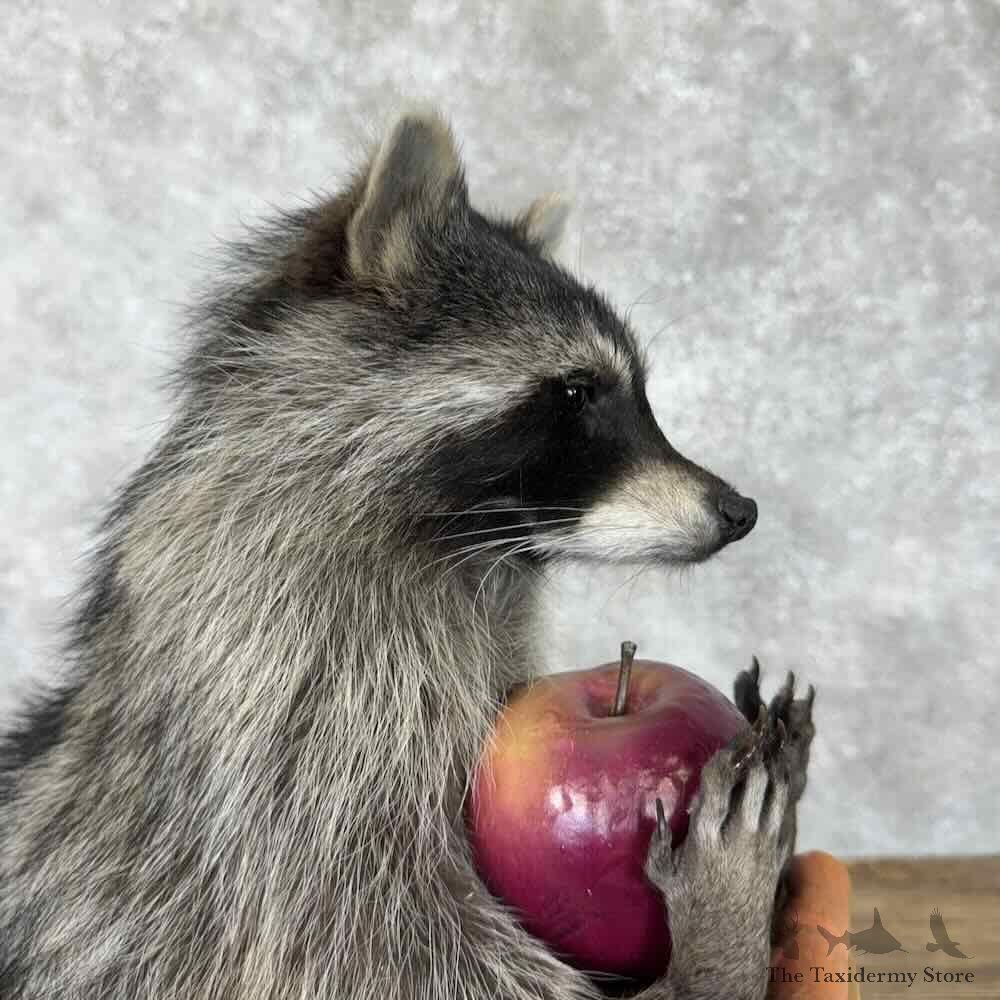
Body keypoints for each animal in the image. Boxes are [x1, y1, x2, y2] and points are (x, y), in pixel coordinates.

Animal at [0, 110, 814, 1000]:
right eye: (575, 393)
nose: (739, 511)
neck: (462, 559)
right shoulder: (285, 753)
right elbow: (382, 951)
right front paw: (716, 944)